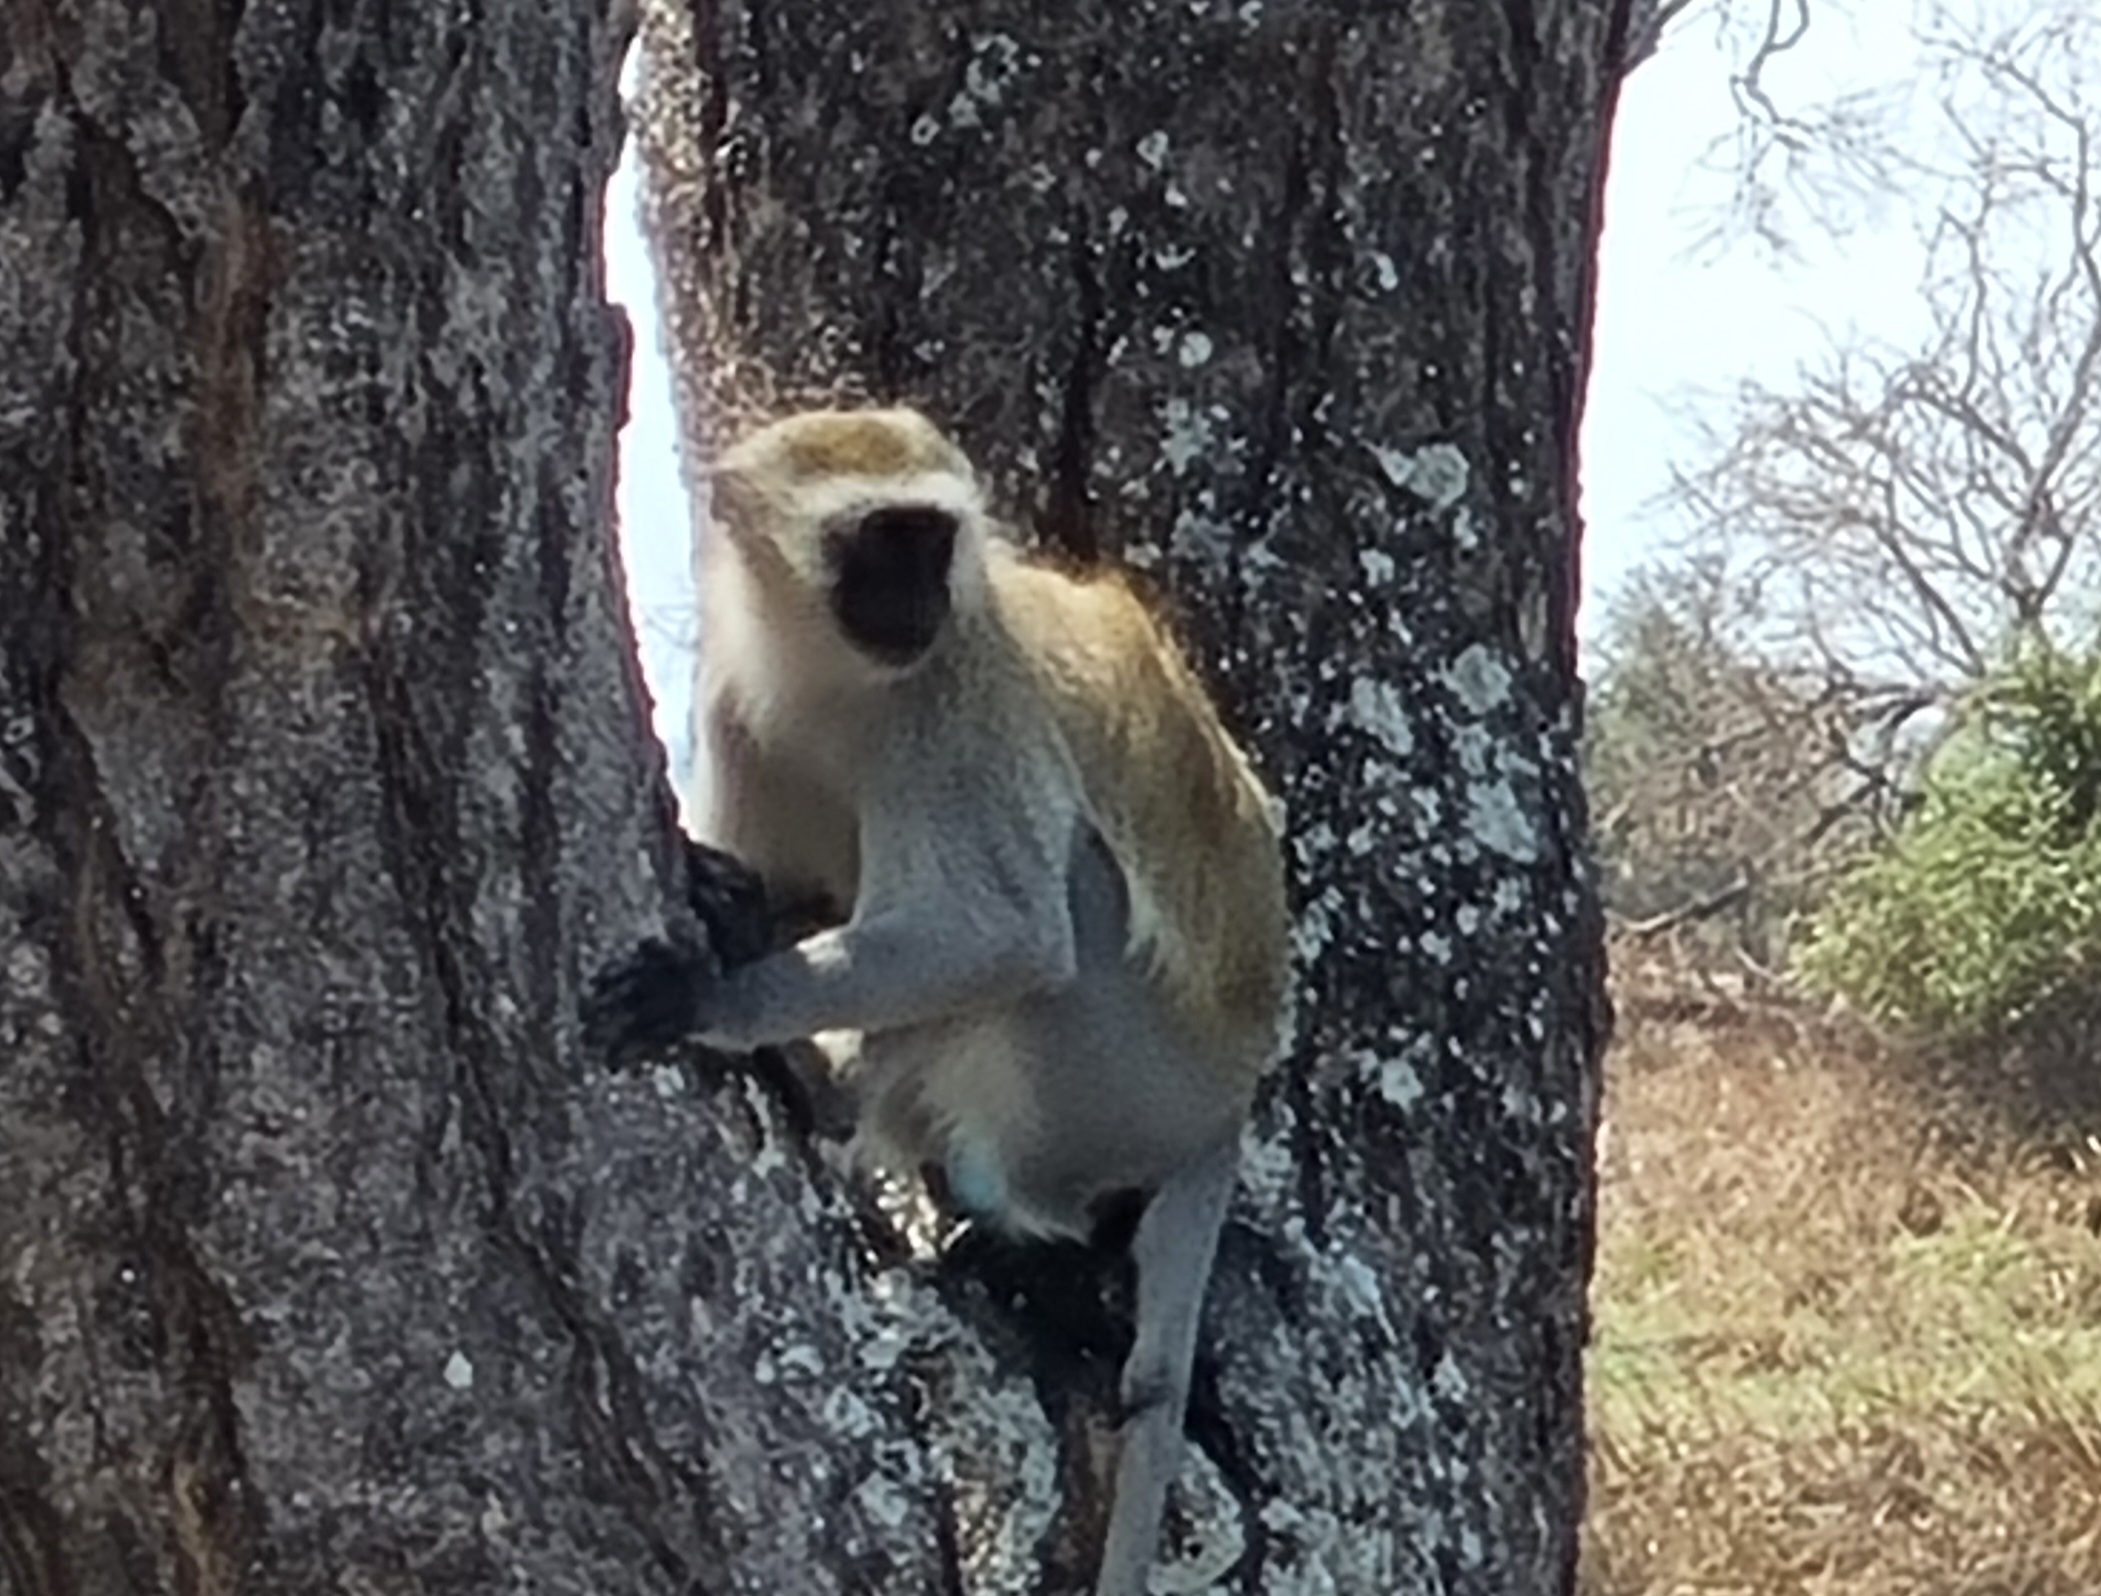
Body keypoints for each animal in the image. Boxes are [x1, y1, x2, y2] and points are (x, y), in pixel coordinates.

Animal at [583, 406, 1290, 1596]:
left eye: (930, 538)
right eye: (879, 541)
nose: (916, 598)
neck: (830, 677)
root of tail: (1230, 1103)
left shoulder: (951, 698)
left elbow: (998, 933)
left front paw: (715, 993)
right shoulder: (738, 702)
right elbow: (795, 884)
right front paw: (734, 901)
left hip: (1128, 1076)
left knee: (1047, 922)